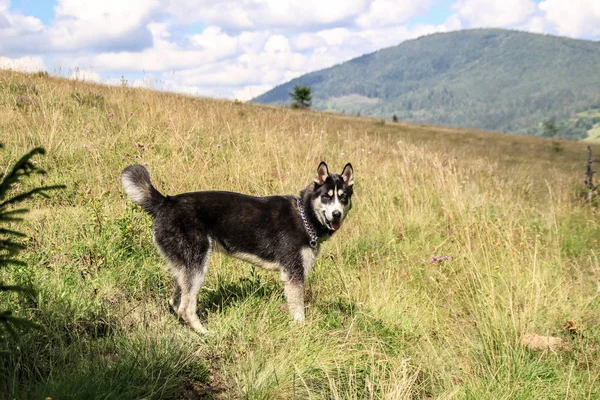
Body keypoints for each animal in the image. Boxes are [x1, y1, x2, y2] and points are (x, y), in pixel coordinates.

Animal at [123, 161, 356, 332]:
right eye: (326, 196)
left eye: (343, 198)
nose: (336, 214)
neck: (304, 215)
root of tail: (165, 202)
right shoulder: (294, 274)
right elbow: (298, 311)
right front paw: (302, 331)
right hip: (197, 267)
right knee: (186, 307)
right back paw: (203, 333)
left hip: (184, 267)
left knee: (175, 301)